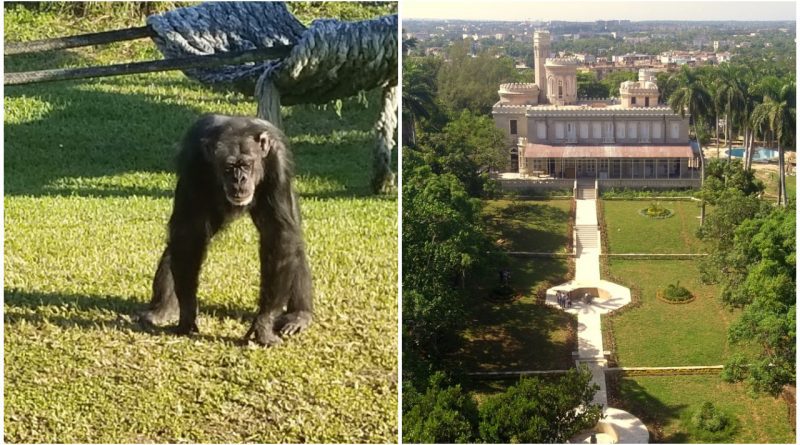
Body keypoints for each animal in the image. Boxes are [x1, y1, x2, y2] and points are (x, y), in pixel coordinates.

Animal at [138, 112, 312, 346]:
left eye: (246, 165)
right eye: (229, 167)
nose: (239, 179)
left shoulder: (278, 162)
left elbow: (279, 234)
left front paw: (264, 323)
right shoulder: (194, 162)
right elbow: (188, 233)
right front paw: (188, 312)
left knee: (293, 241)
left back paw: (299, 315)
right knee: (179, 242)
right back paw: (162, 309)